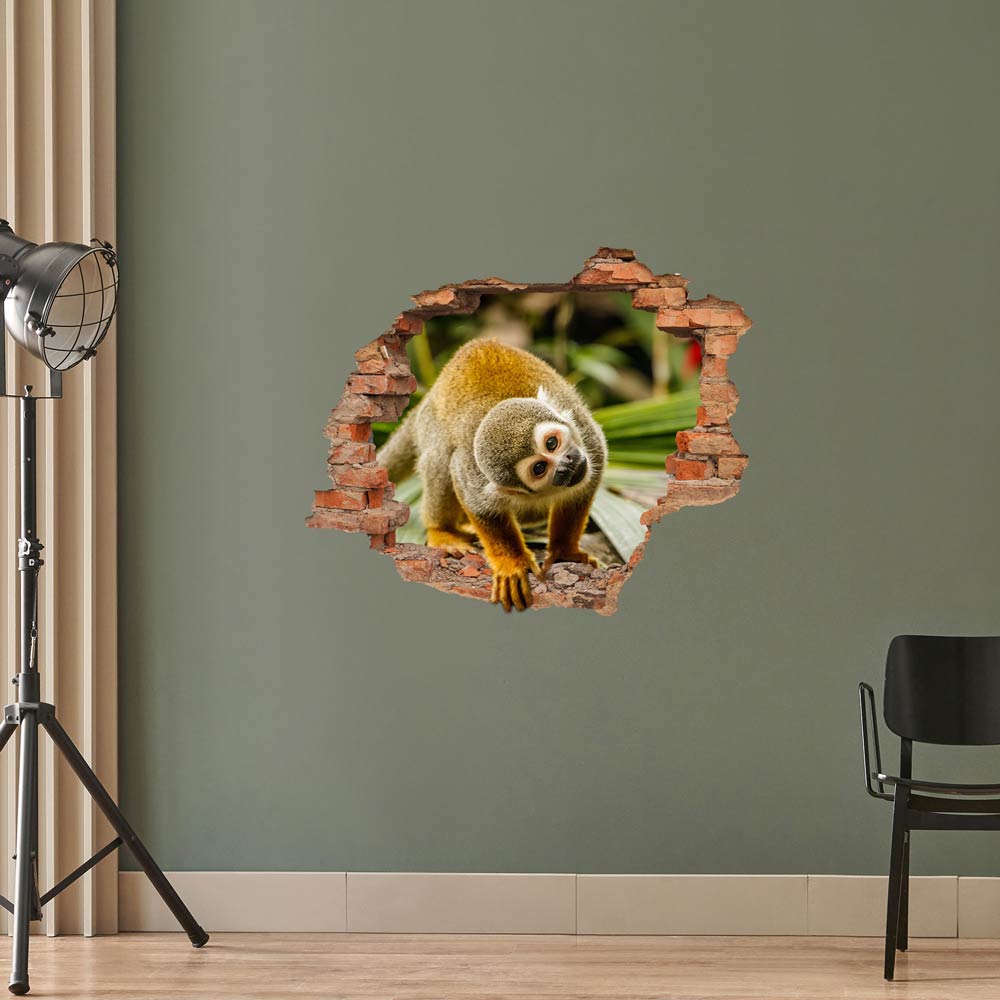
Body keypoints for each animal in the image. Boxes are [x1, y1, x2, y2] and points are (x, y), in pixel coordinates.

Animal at [378, 338, 607, 612]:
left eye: (552, 443)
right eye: (539, 468)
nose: (567, 463)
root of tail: (427, 399)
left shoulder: (587, 438)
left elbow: (581, 489)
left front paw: (564, 550)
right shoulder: (475, 476)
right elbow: (479, 505)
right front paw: (511, 563)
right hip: (430, 426)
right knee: (441, 459)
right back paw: (441, 530)